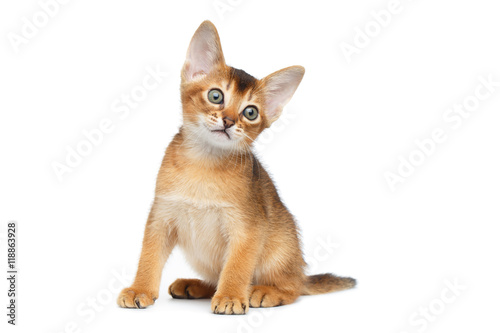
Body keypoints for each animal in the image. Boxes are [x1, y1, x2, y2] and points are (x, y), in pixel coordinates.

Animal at [117, 21, 356, 314]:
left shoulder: (247, 227)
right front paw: (139, 289)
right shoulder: (161, 216)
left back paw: (264, 292)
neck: (203, 164)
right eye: (215, 95)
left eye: (250, 112)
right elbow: (149, 256)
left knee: (293, 288)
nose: (229, 121)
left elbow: (236, 266)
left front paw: (231, 296)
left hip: (280, 247)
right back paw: (194, 286)